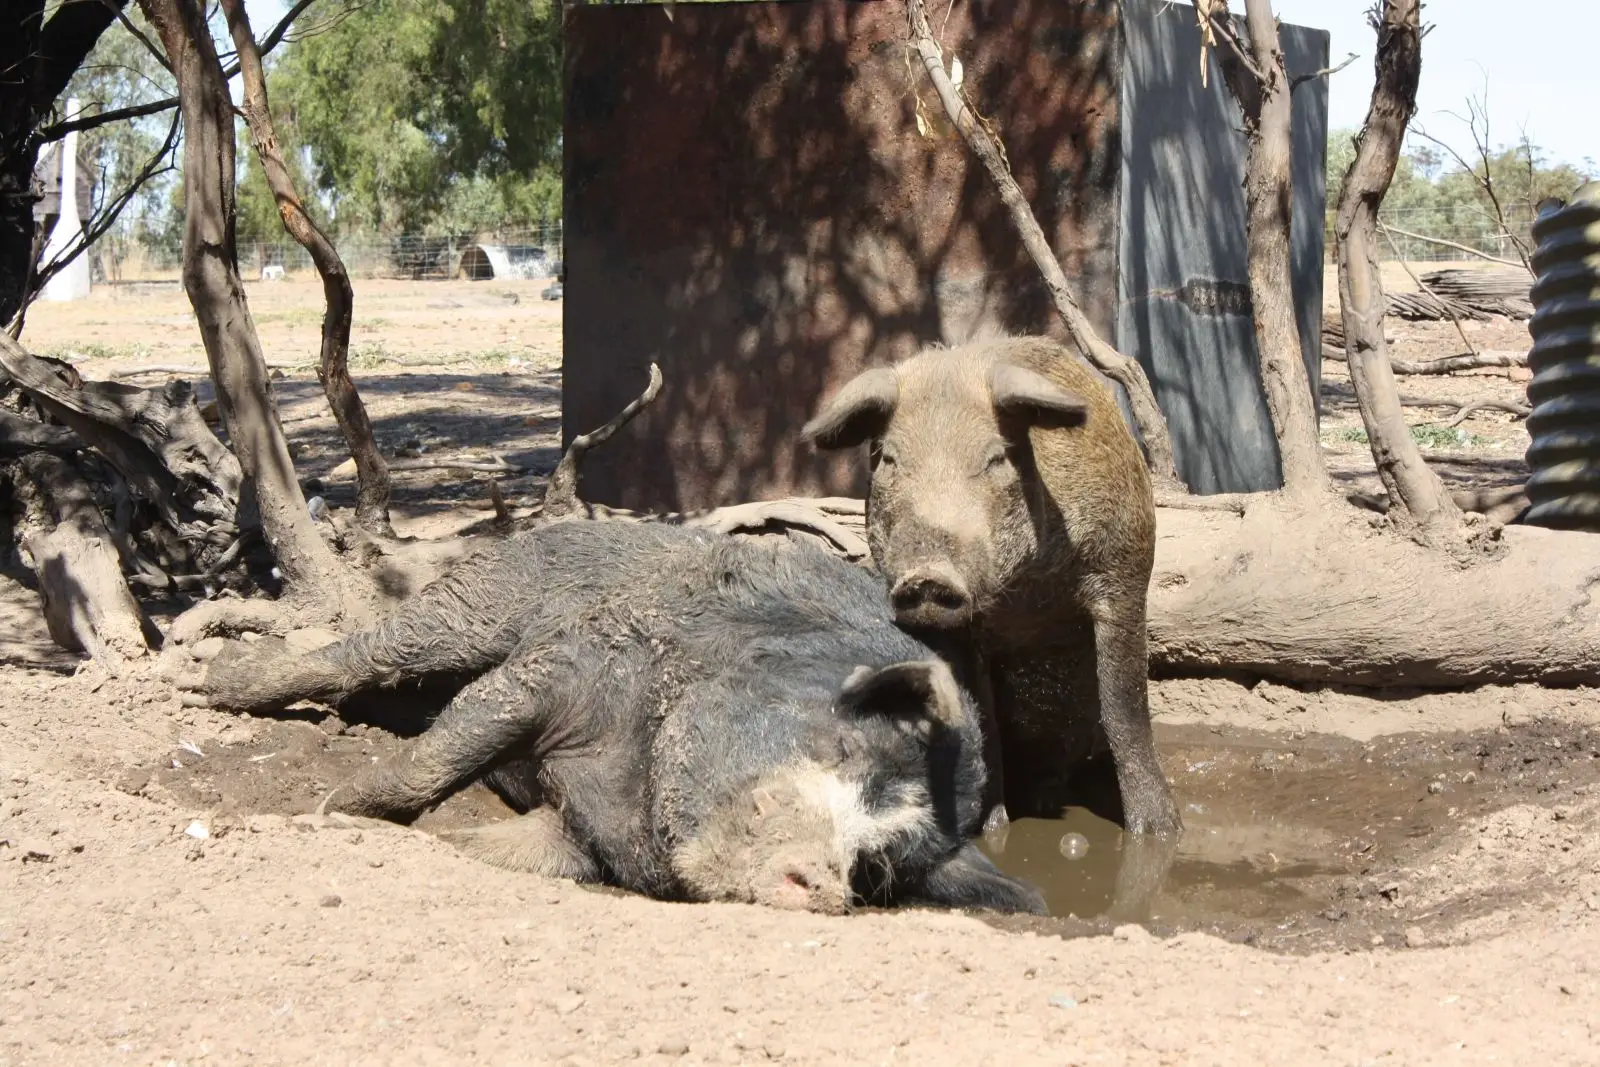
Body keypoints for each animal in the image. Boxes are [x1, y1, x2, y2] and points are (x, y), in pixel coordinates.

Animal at [184, 520, 1046, 915]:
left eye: (878, 865)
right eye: (843, 750)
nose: (826, 880)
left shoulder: (582, 839)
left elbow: (512, 849)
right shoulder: (565, 663)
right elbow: (443, 750)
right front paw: (332, 809)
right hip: (482, 596)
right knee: (369, 651)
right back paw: (214, 685)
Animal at [801, 334, 1181, 837]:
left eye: (995, 458)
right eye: (889, 459)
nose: (928, 574)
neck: (1027, 599)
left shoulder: (1125, 570)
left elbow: (1124, 707)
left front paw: (1160, 832)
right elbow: (979, 718)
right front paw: (990, 828)